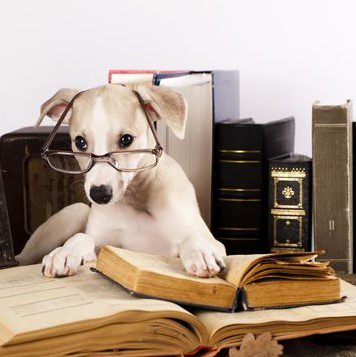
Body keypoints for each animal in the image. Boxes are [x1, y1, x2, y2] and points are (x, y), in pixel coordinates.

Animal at [16, 84, 225, 278]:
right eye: (80, 142)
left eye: (126, 139)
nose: (99, 195)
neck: (138, 200)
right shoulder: (104, 248)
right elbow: (84, 237)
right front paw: (65, 252)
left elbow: (194, 235)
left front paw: (200, 249)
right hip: (75, 211)